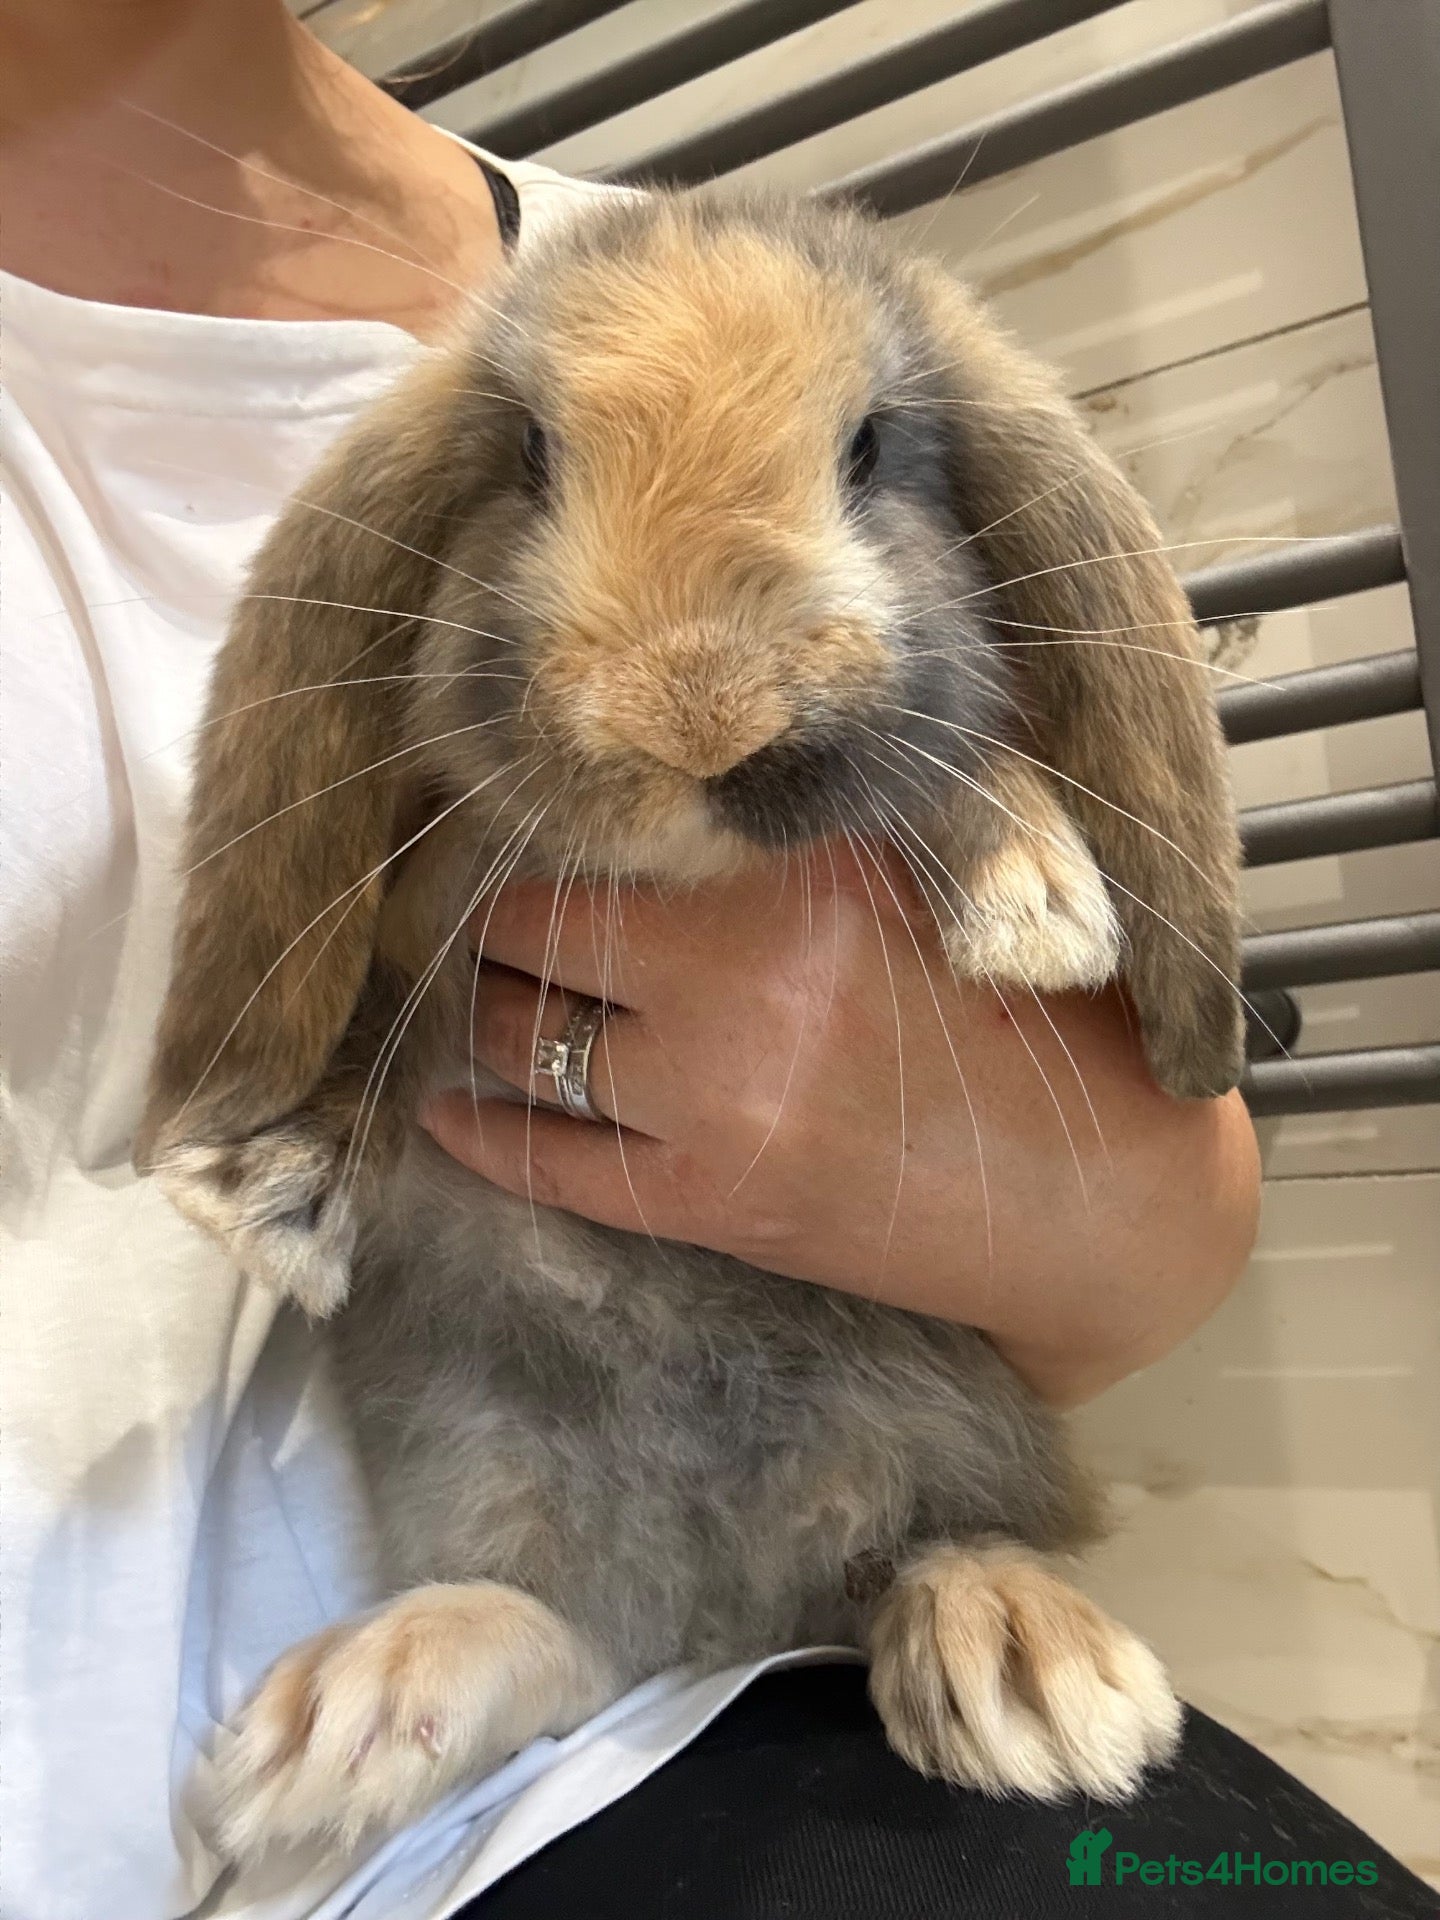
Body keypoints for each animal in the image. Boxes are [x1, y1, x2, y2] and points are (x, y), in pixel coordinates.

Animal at [135, 188, 1243, 1861]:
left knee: (926, 1546)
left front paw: (1038, 898)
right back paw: (351, 1713)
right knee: (564, 1628)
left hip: (947, 1423)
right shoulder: (437, 887)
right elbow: (386, 1013)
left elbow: (953, 761)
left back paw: (1030, 1670)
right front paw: (269, 1181)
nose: (695, 713)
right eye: (533, 454)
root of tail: (730, 1602)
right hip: (489, 1459)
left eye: (871, 449)